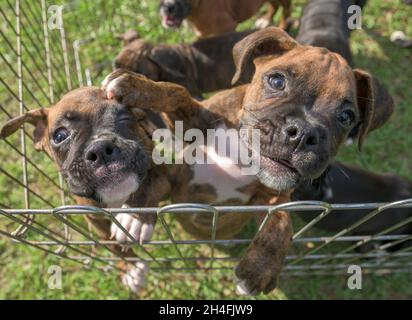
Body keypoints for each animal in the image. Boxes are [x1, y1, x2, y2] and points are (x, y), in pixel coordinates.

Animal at [159, 0, 292, 37]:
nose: (168, 7)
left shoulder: (228, 27)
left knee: (286, 11)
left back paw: (283, 27)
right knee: (274, 6)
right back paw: (266, 20)